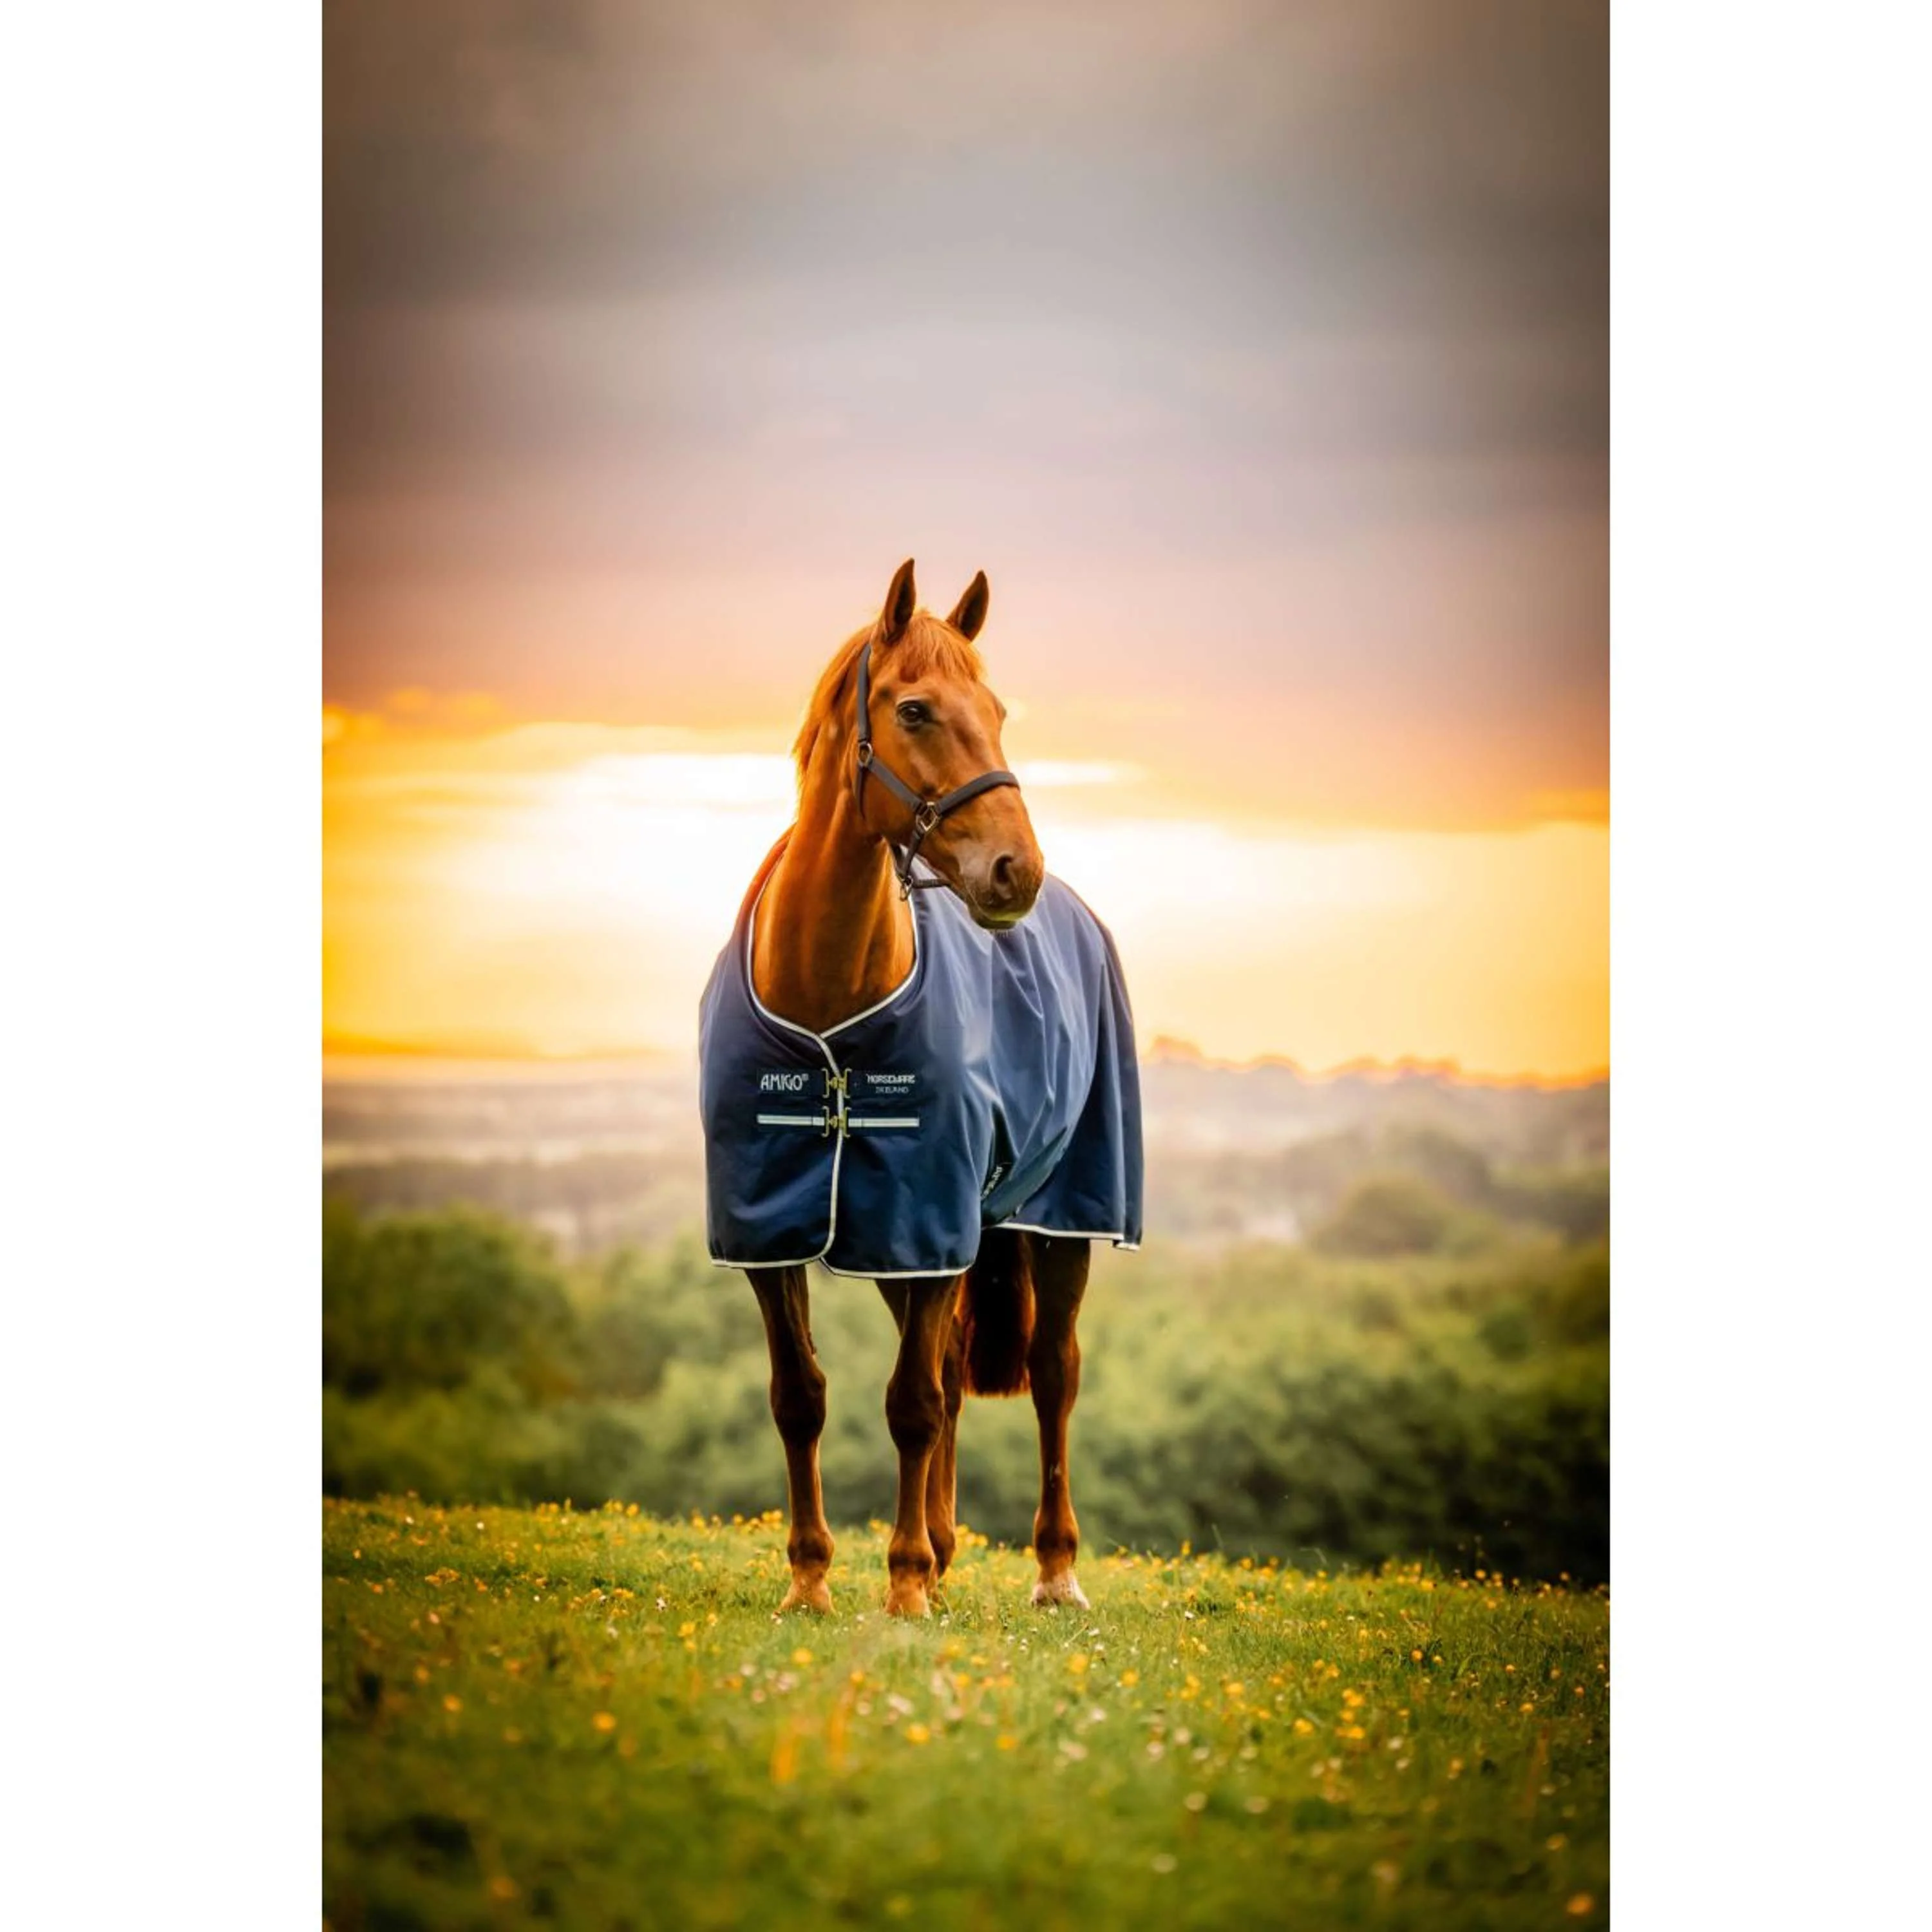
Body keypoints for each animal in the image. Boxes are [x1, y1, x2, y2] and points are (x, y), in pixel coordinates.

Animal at [697, 559, 1143, 1617]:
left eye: (999, 709)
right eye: (914, 709)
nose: (1015, 870)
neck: (828, 1004)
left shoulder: (930, 1219)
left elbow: (912, 1404)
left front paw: (900, 1590)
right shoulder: (780, 1230)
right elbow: (802, 1397)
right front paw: (812, 1581)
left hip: (1058, 1219)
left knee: (1053, 1374)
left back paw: (1052, 1569)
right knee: (942, 1368)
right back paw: (940, 1549)